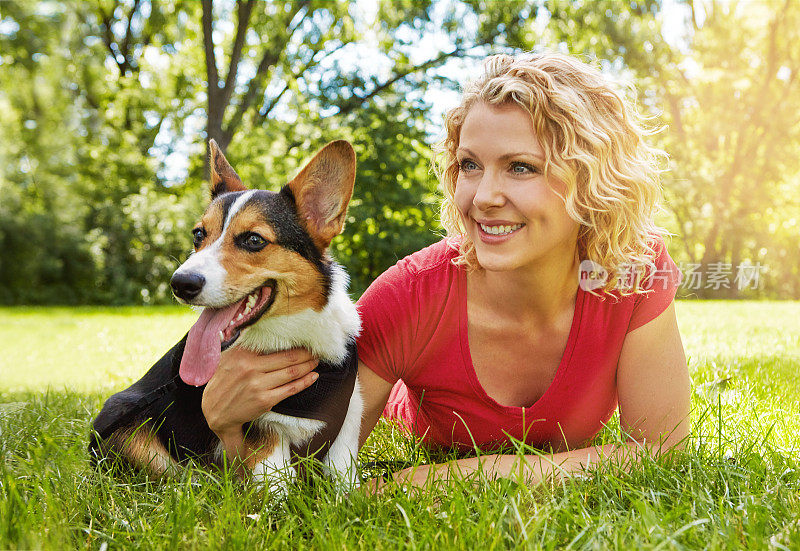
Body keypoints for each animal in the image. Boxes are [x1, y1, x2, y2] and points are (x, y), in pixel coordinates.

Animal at [89, 139, 360, 492]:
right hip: (125, 421)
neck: (296, 336)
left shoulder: (345, 437)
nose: (180, 284)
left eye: (254, 239)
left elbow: (346, 488)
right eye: (198, 235)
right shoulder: (265, 435)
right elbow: (278, 490)